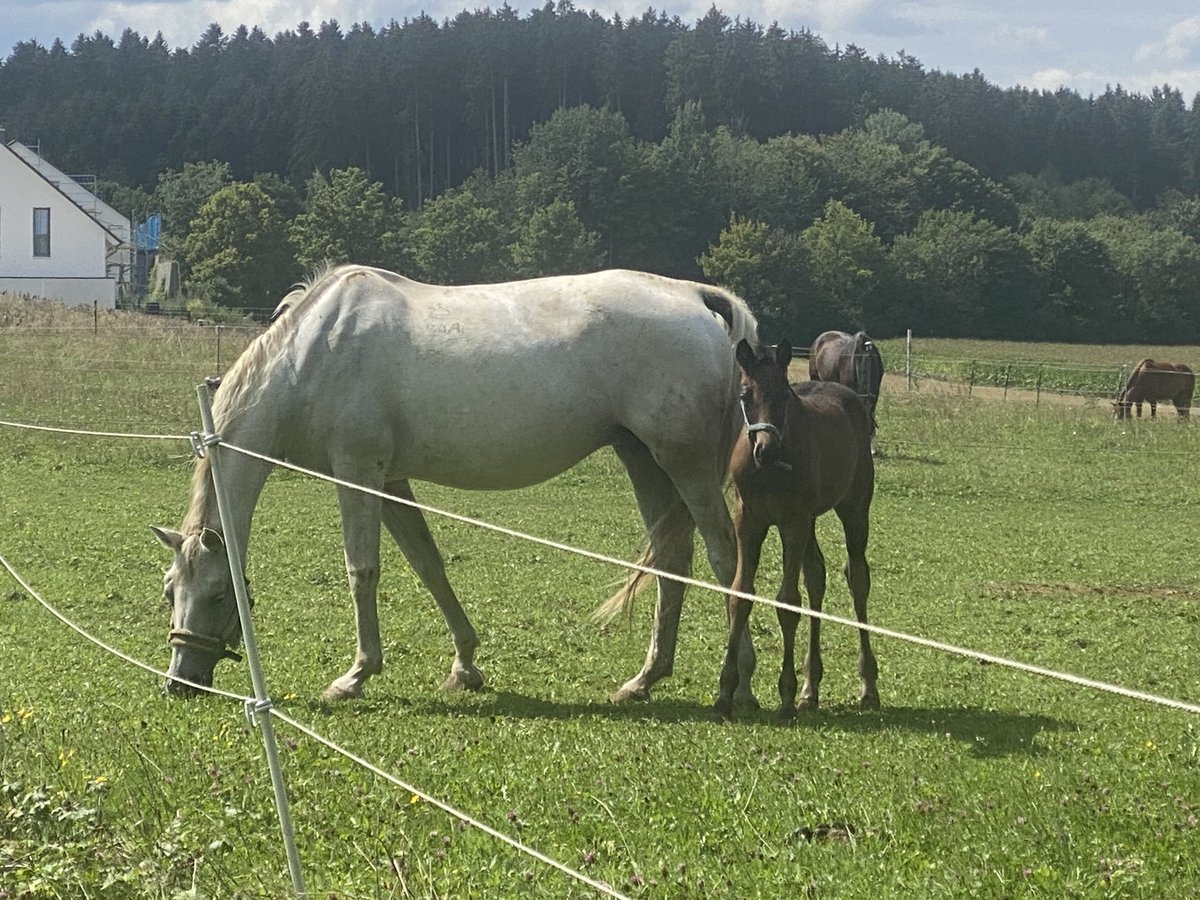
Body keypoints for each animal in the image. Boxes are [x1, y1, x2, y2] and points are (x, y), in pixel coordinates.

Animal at [151, 264, 761, 705]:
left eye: (218, 592)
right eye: (169, 591)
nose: (181, 681)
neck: (313, 354)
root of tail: (692, 296)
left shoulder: (357, 472)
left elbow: (362, 571)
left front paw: (355, 676)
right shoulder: (391, 480)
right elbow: (428, 564)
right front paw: (465, 664)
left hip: (684, 465)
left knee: (724, 559)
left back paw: (739, 683)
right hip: (644, 461)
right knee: (673, 563)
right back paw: (644, 680)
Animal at [713, 339, 878, 722]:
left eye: (784, 394)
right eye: (745, 394)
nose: (767, 450)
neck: (769, 472)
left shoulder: (792, 522)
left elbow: (788, 602)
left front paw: (785, 695)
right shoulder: (749, 521)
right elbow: (739, 594)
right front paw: (726, 693)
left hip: (853, 508)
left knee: (857, 578)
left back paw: (868, 686)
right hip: (810, 521)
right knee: (816, 576)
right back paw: (810, 688)